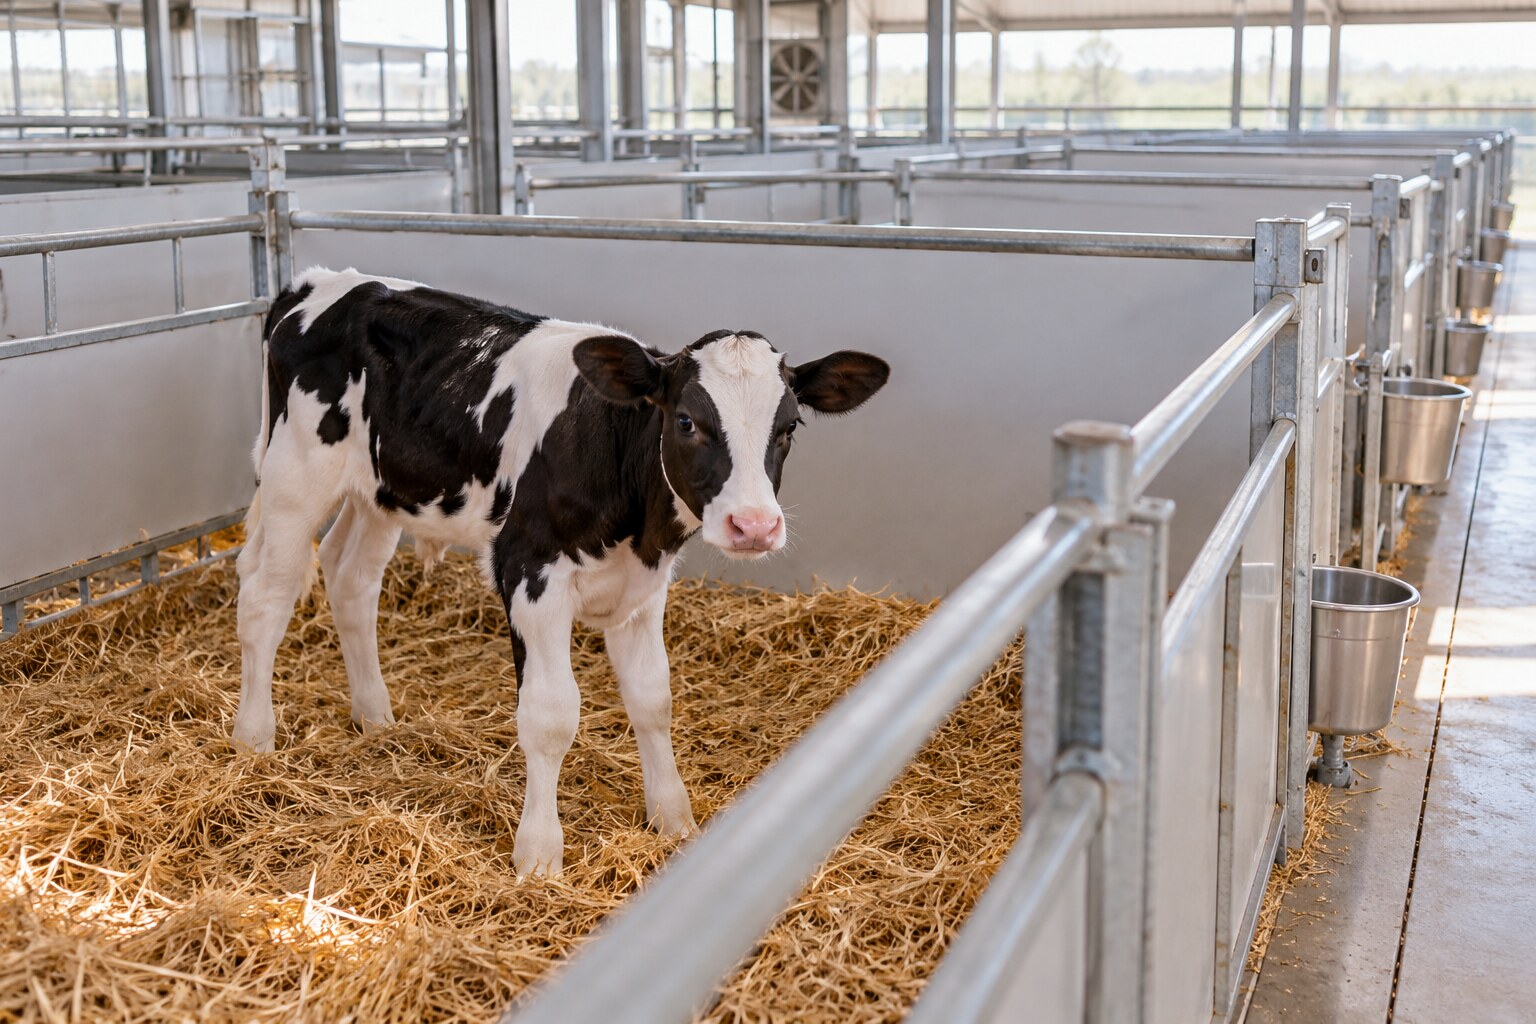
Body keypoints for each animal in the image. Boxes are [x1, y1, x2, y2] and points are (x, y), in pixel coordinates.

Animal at [232, 267, 889, 877]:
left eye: (789, 427)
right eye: (685, 421)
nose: (753, 525)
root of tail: (317, 282)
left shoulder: (644, 586)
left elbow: (653, 698)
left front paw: (672, 818)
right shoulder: (528, 570)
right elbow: (550, 715)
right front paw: (539, 854)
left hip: (381, 493)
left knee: (350, 578)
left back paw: (374, 717)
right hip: (293, 476)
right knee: (266, 596)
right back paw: (253, 738)